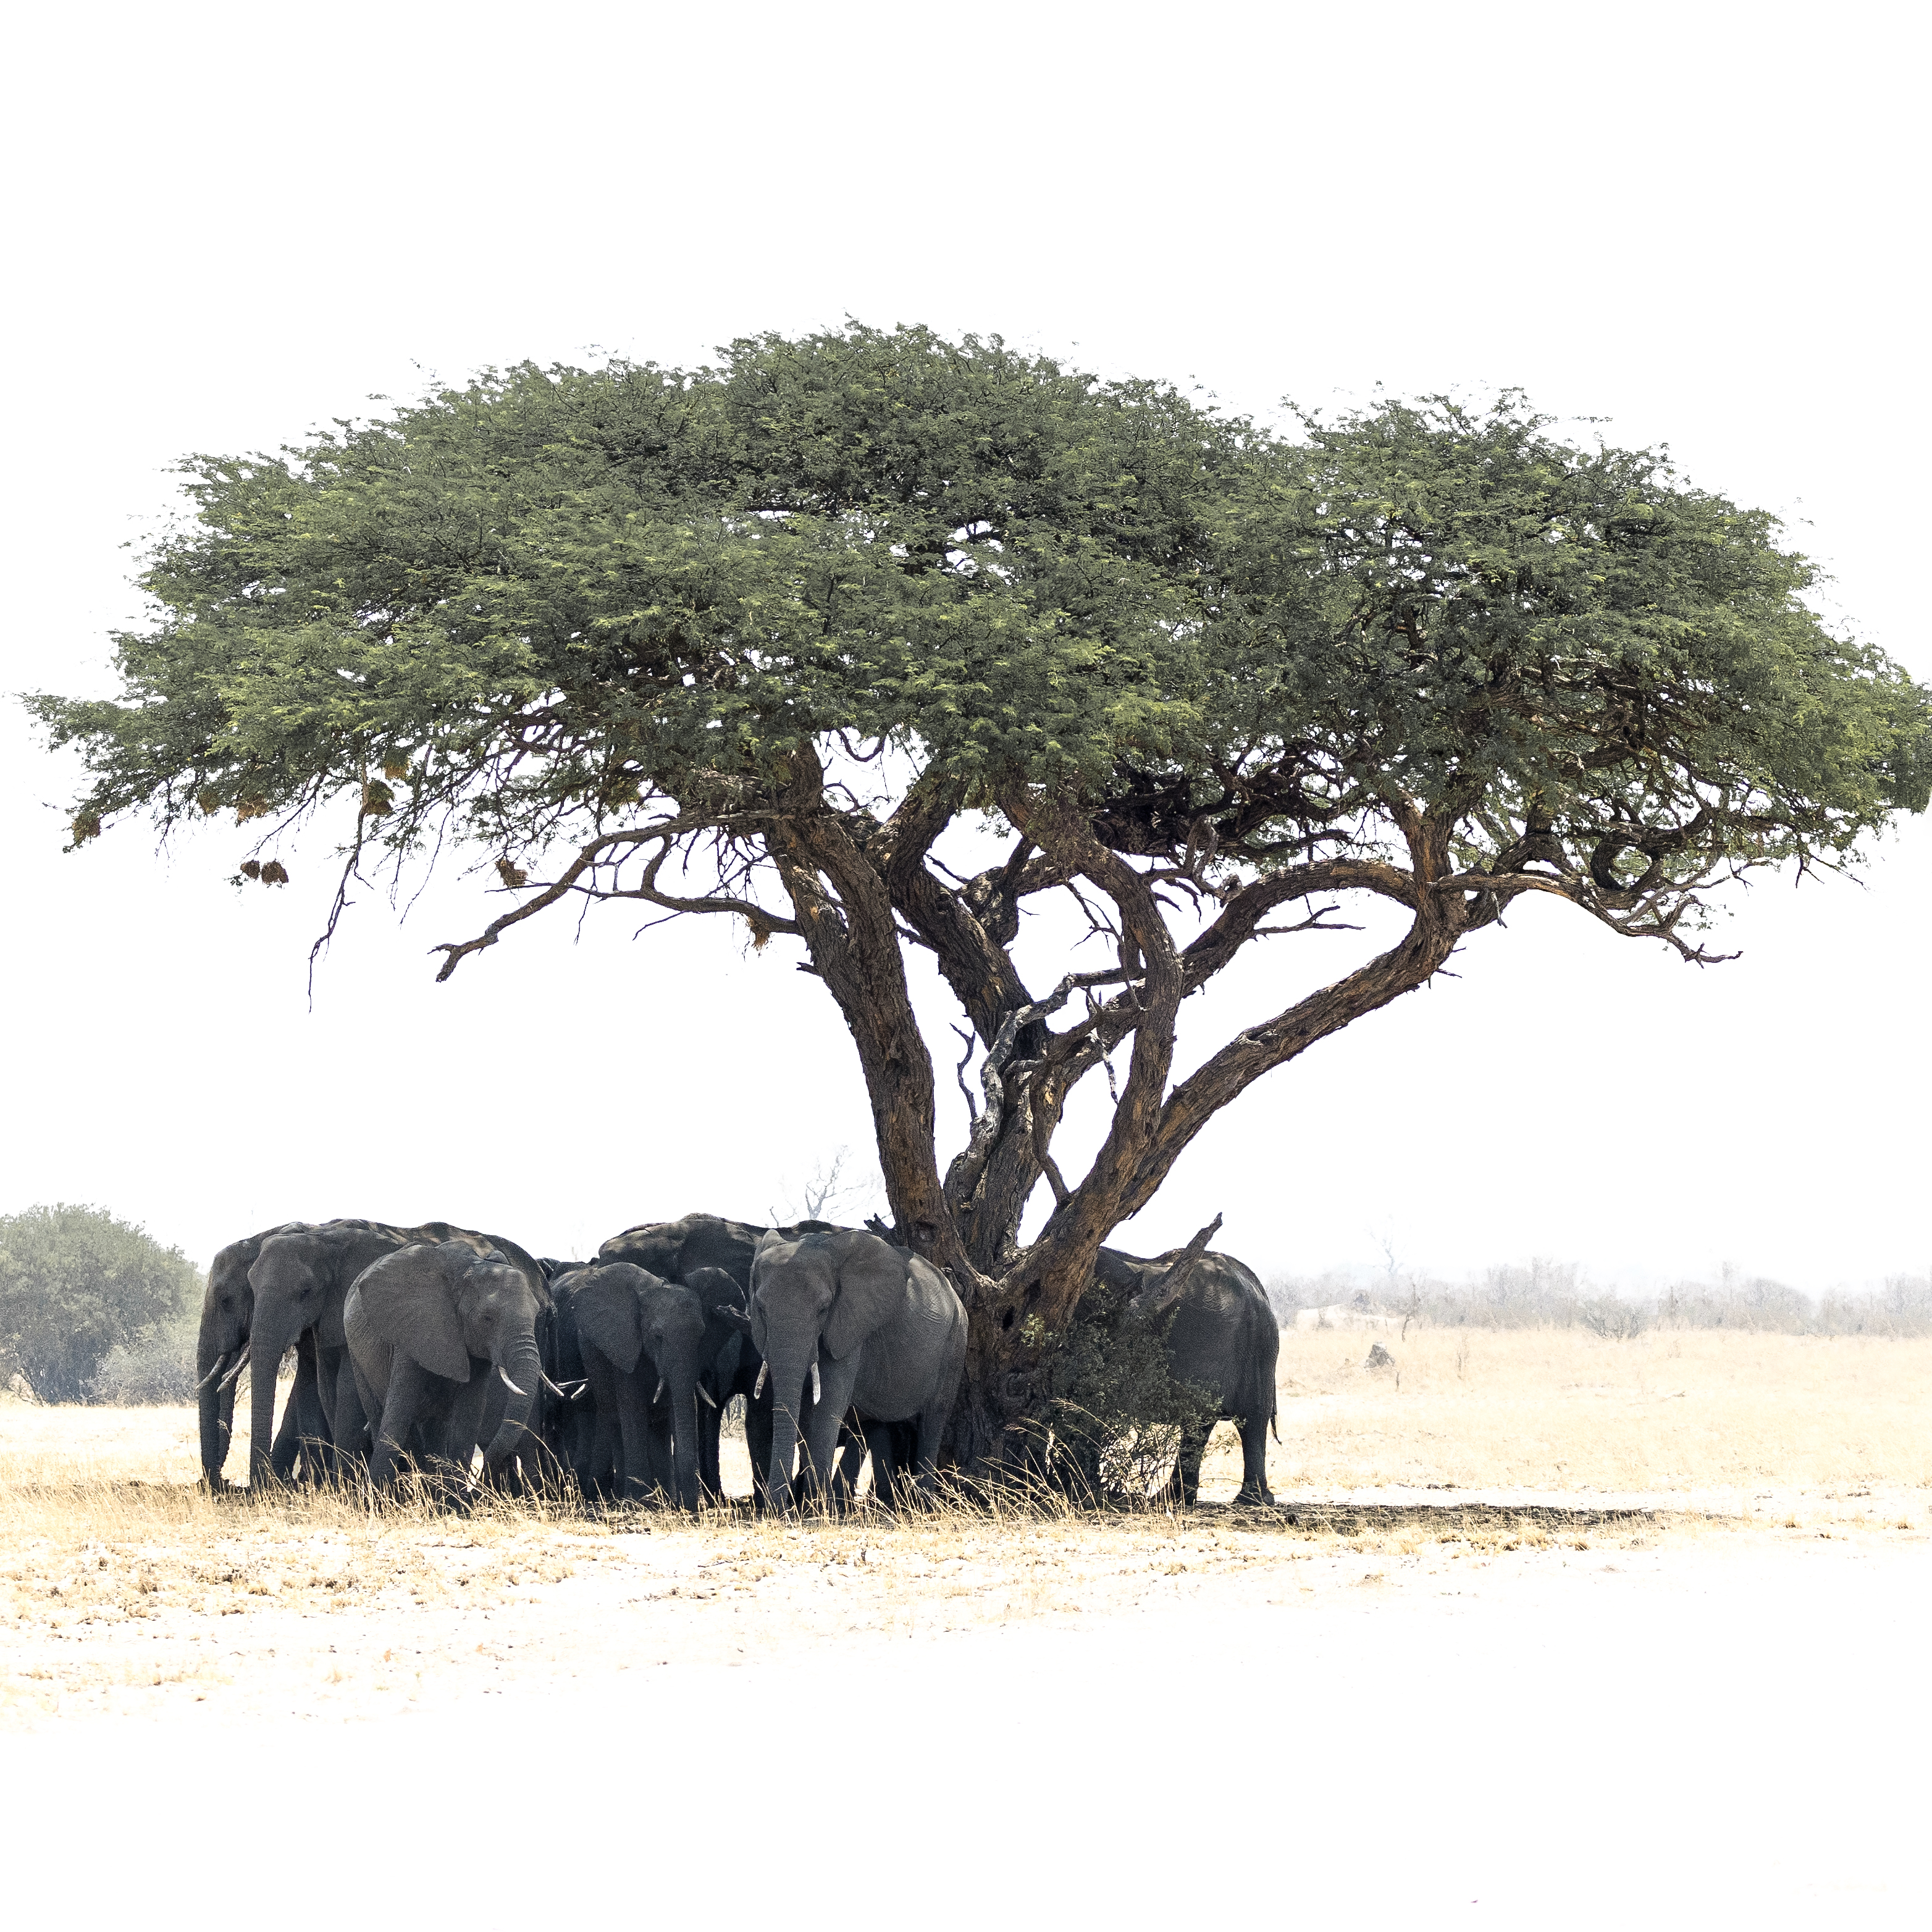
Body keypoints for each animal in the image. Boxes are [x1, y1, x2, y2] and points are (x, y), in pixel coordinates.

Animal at [344, 1239, 552, 1495]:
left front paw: (455, 1501)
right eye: (487, 1318)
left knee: (436, 1428)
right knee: (379, 1415)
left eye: (536, 1314)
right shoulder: (412, 1330)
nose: (478, 1485)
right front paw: (381, 1499)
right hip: (357, 1355)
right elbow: (398, 1414)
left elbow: (468, 1417)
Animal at [567, 1263, 719, 1509]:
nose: (700, 1506)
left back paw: (665, 1499)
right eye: (657, 1336)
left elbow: (681, 1406)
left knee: (659, 1428)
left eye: (701, 1336)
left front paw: (686, 1506)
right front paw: (639, 1503)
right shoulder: (624, 1348)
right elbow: (633, 1409)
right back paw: (622, 1496)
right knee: (614, 1418)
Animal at [742, 1227, 966, 1514]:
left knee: (934, 1418)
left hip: (955, 1342)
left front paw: (817, 1508)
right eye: (760, 1308)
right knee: (872, 1423)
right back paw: (878, 1503)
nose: (776, 1510)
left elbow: (827, 1404)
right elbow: (807, 1411)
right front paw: (808, 1506)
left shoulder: (849, 1325)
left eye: (824, 1309)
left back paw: (922, 1505)